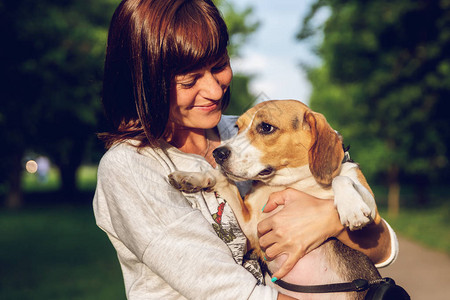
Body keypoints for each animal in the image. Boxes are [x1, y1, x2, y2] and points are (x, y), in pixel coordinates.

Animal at [170, 100, 384, 298]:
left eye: (266, 127)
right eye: (238, 127)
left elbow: (341, 178)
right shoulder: (250, 227)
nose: (218, 153)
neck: (291, 182)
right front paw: (189, 178)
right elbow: (222, 178)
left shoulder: (373, 211)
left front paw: (352, 208)